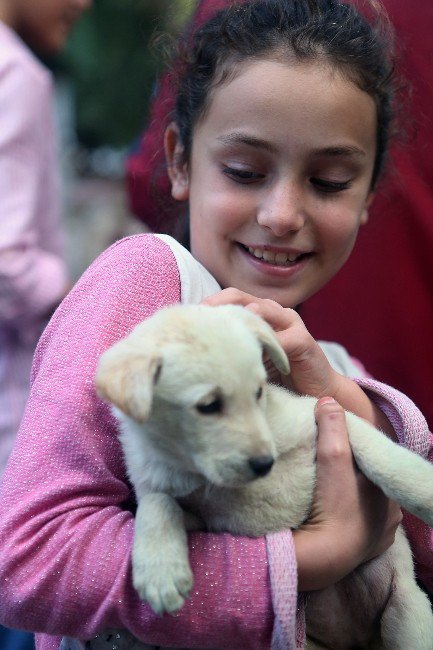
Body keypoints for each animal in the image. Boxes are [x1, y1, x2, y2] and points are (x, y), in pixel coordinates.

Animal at [95, 306, 432, 648]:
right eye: (208, 405)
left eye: (259, 392)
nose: (264, 464)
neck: (204, 475)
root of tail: (355, 640)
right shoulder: (187, 505)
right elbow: (156, 503)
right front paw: (160, 568)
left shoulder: (323, 415)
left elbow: (381, 455)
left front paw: (423, 489)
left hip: (406, 613)